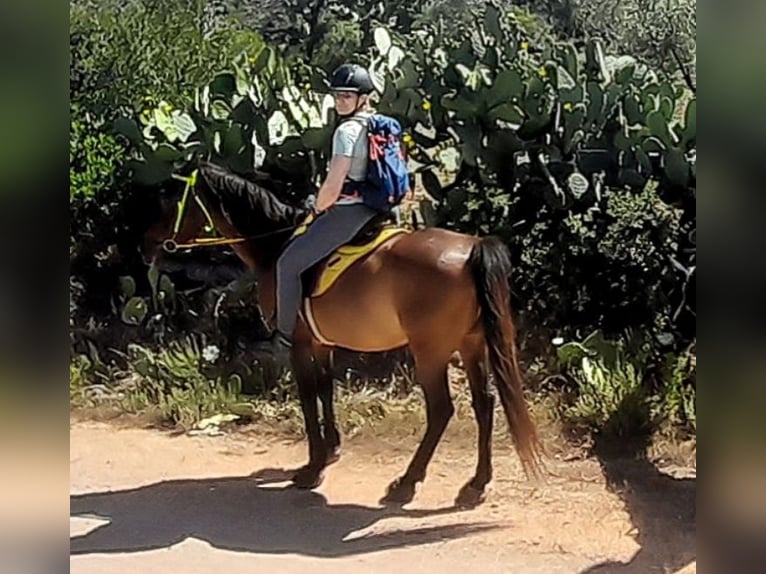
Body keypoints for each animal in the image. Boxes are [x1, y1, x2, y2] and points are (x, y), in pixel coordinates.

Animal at [142, 161, 540, 508]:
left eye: (171, 201)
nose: (147, 244)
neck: (276, 245)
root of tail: (472, 248)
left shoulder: (298, 342)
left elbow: (307, 396)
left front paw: (312, 467)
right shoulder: (322, 343)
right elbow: (325, 390)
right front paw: (332, 449)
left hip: (430, 353)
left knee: (441, 410)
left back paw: (407, 482)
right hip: (471, 345)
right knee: (484, 404)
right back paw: (475, 485)